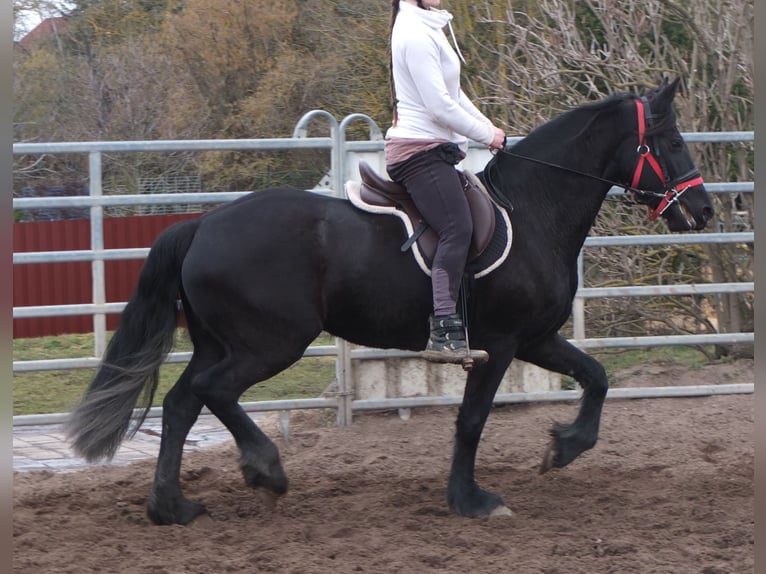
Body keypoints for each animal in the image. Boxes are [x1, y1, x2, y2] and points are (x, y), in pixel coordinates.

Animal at [64, 77, 712, 528]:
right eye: (672, 141)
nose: (703, 211)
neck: (532, 210)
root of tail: (202, 224)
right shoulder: (500, 345)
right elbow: (472, 420)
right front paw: (471, 500)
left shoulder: (536, 338)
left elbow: (597, 376)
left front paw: (564, 448)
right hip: (270, 343)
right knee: (212, 392)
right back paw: (265, 470)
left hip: (221, 342)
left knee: (181, 404)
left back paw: (171, 506)